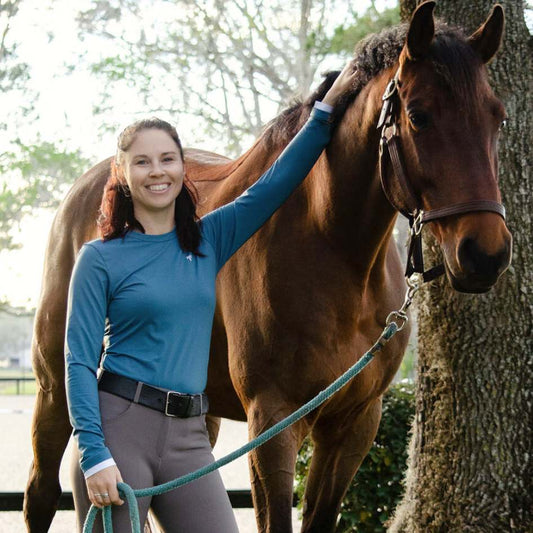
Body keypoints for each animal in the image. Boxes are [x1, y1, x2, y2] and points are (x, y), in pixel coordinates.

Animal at [25, 2, 512, 528]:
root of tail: (95, 182)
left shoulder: (354, 423)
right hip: (55, 390)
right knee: (41, 494)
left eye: (498, 118)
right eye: (419, 116)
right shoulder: (274, 422)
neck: (333, 252)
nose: (485, 253)